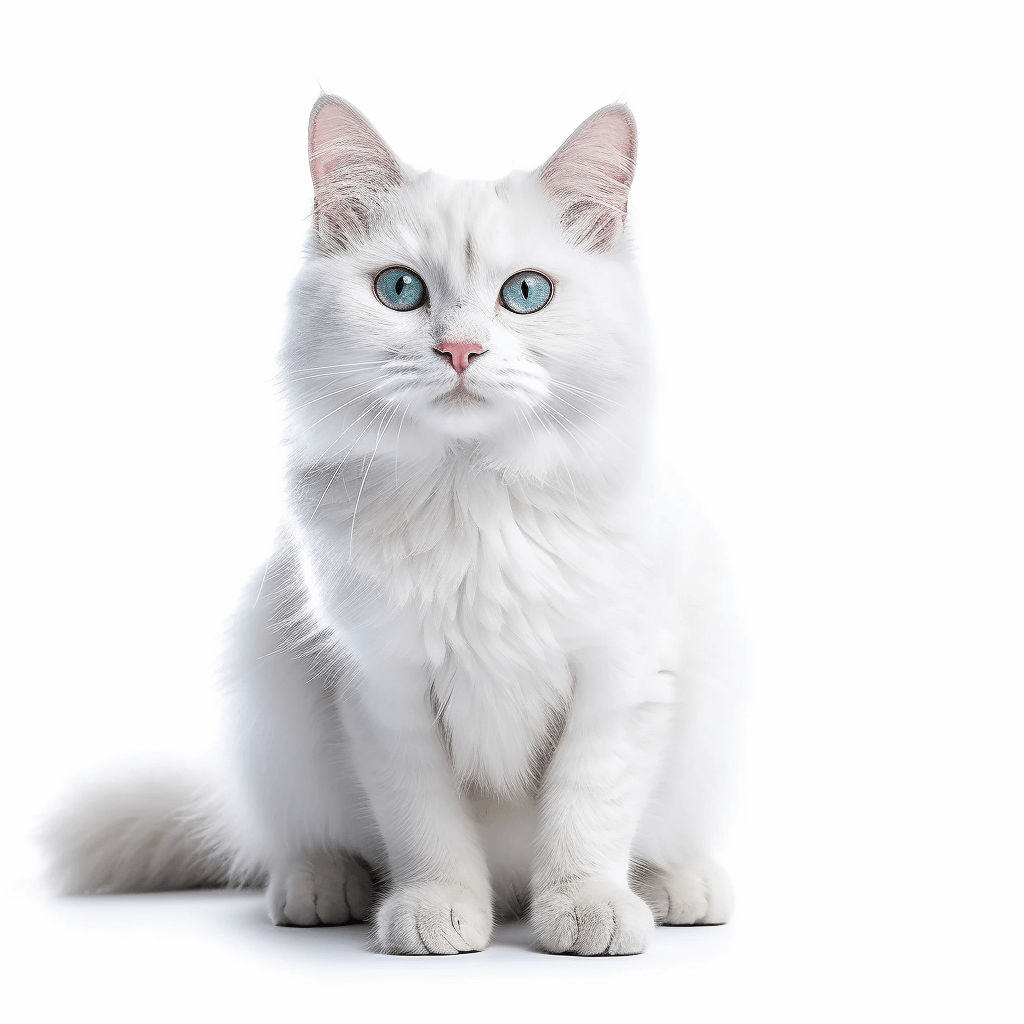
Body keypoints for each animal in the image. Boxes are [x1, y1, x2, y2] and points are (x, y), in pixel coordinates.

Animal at [44, 97, 741, 958]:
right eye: (401, 290)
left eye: (526, 294)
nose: (460, 350)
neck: (474, 496)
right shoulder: (383, 687)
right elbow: (425, 824)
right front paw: (438, 910)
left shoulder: (624, 675)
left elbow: (589, 809)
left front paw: (588, 907)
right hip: (274, 719)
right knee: (299, 840)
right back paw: (321, 887)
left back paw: (681, 886)